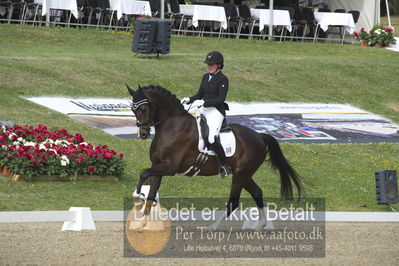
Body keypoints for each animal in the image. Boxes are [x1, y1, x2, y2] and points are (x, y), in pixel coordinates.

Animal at [128, 85, 304, 231]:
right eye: (133, 109)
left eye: (143, 108)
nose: (142, 134)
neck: (172, 124)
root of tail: (260, 135)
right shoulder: (158, 167)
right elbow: (151, 195)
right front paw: (143, 223)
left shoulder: (169, 167)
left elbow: (143, 174)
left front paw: (137, 194)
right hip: (243, 174)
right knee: (257, 192)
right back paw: (260, 226)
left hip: (241, 174)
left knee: (234, 202)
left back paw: (211, 227)